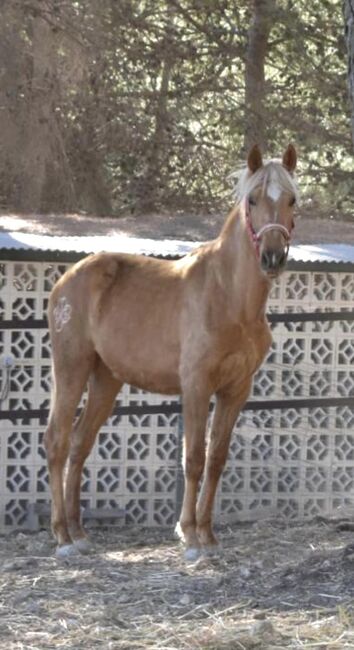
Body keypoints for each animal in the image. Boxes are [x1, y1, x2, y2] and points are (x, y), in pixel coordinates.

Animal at [44, 146, 298, 556]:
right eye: (253, 199)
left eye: (292, 200)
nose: (273, 257)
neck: (228, 296)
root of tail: (66, 279)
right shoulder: (196, 385)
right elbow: (193, 457)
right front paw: (189, 536)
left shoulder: (235, 390)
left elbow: (216, 459)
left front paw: (208, 535)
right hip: (71, 368)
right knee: (57, 441)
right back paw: (62, 537)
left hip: (105, 378)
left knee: (80, 444)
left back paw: (79, 532)